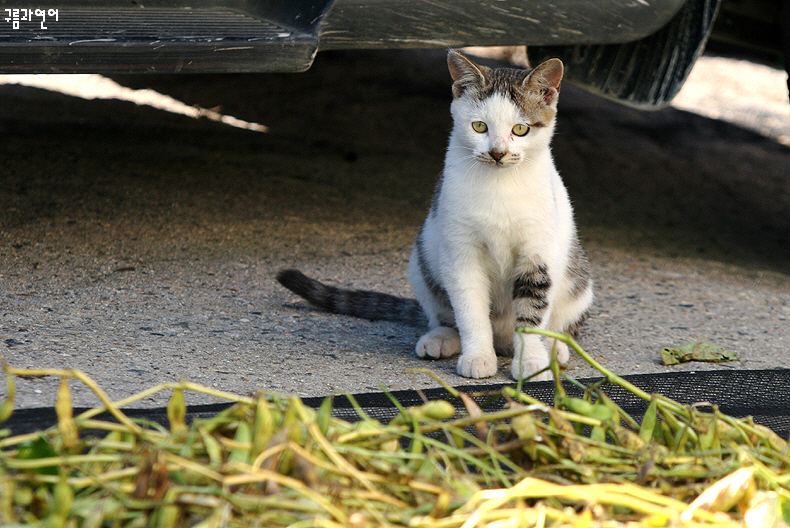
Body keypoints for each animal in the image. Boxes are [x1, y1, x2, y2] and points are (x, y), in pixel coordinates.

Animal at [278, 50, 592, 380]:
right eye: (479, 126)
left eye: (520, 129)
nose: (497, 153)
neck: (499, 185)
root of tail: (503, 341)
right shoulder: (460, 253)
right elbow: (470, 310)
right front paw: (478, 356)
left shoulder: (538, 254)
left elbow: (532, 314)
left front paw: (531, 362)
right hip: (423, 264)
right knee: (443, 314)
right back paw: (442, 338)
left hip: (578, 281)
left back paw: (555, 348)